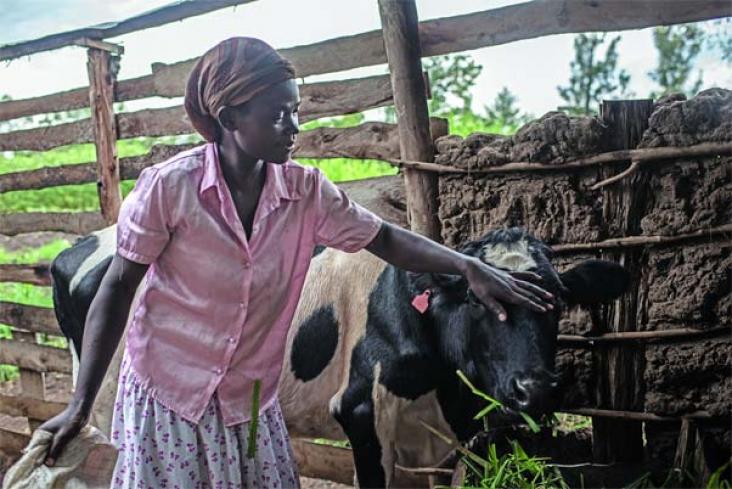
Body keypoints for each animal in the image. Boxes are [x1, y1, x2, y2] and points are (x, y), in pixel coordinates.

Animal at [51, 226, 628, 488]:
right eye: (481, 303)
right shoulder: (359, 412)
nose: (537, 388)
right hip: (106, 399)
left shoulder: (452, 436)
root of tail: (85, 242)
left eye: (559, 303)